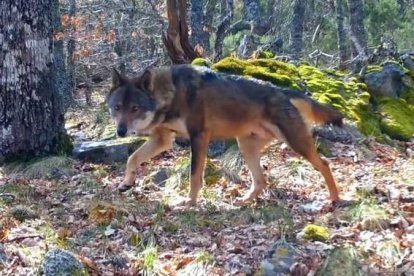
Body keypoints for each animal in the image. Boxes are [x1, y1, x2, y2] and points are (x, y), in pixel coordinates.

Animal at [106, 64, 342, 205]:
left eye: (135, 108)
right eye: (117, 108)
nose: (121, 131)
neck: (169, 96)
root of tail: (282, 90)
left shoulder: (199, 137)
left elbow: (194, 176)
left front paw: (189, 202)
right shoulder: (162, 140)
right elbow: (132, 158)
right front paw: (126, 183)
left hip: (296, 144)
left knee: (324, 164)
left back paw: (334, 200)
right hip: (246, 147)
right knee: (261, 181)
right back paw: (244, 201)